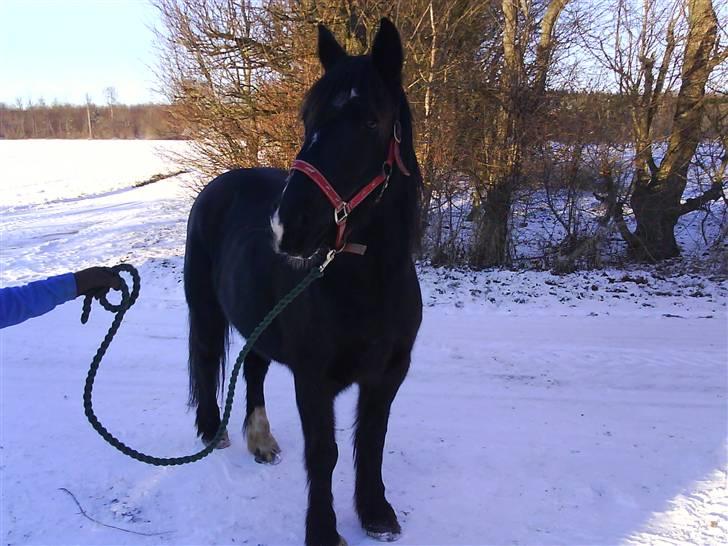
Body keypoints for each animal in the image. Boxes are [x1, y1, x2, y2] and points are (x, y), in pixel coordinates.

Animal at [184, 18, 422, 546]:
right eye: (307, 118)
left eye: (371, 121)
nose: (286, 227)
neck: (367, 285)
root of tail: (217, 185)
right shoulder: (314, 380)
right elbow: (324, 454)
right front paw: (323, 531)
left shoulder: (388, 375)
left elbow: (371, 441)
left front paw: (375, 513)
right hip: (205, 310)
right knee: (207, 360)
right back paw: (213, 431)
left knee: (252, 370)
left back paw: (261, 440)